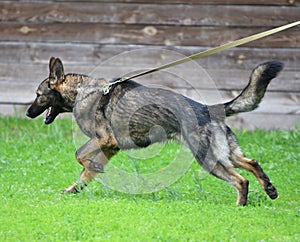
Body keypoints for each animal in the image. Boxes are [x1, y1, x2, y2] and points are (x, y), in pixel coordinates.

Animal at [26, 57, 284, 206]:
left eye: (38, 95)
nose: (28, 113)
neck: (83, 92)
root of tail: (207, 109)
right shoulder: (110, 147)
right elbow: (85, 174)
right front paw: (75, 188)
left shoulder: (103, 139)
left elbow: (79, 155)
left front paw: (90, 168)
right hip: (226, 153)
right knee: (252, 163)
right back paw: (269, 189)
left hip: (207, 158)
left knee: (240, 180)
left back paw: (240, 206)